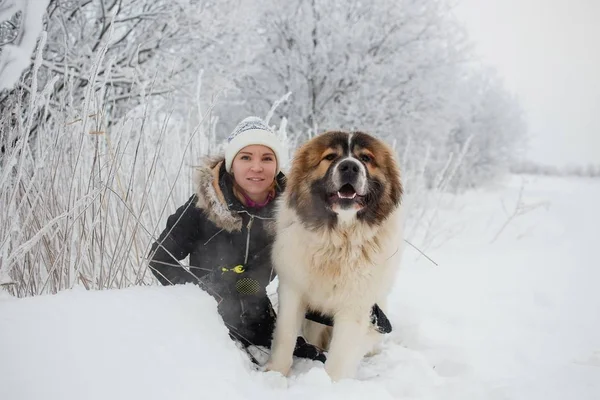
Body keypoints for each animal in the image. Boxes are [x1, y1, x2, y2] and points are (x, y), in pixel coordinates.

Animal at [266, 131, 404, 382]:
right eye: (330, 157)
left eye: (366, 158)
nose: (349, 166)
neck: (338, 239)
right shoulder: (293, 289)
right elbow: (285, 334)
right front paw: (275, 374)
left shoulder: (355, 305)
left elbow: (341, 355)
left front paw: (329, 383)